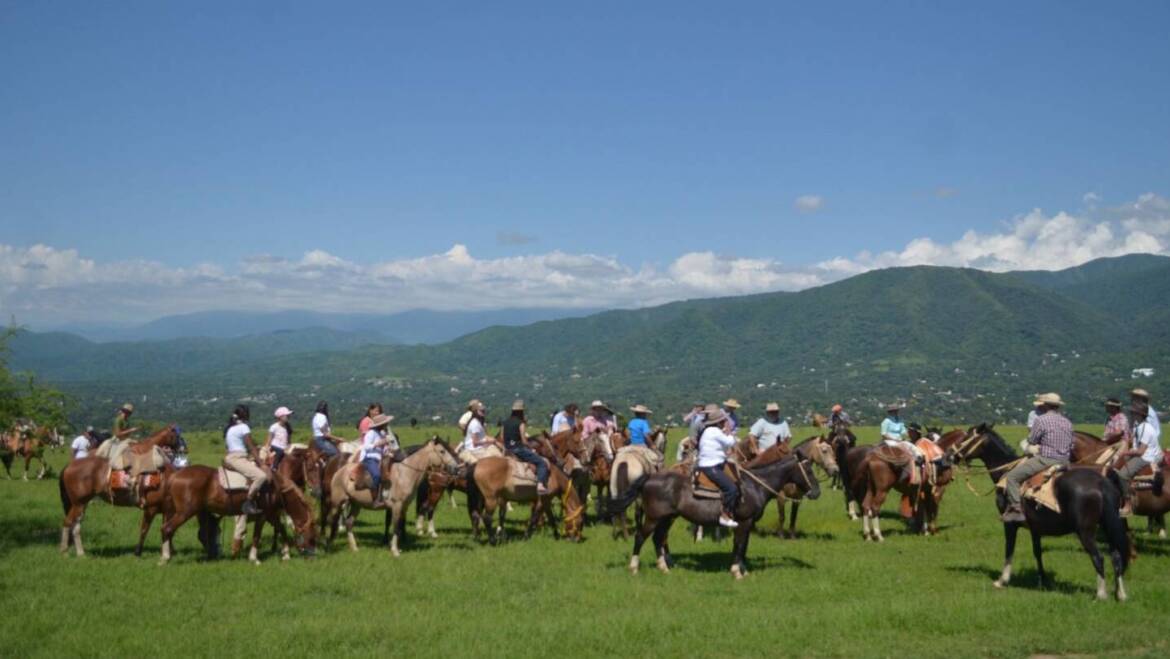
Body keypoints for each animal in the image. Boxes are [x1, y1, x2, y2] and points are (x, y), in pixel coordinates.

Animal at [56, 426, 184, 559]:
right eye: (177, 436)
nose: (183, 448)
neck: (167, 478)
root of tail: (69, 466)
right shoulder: (151, 508)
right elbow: (145, 530)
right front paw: (138, 552)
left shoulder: (166, 509)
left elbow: (167, 529)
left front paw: (170, 551)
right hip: (78, 503)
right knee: (68, 522)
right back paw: (64, 550)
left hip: (81, 504)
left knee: (76, 526)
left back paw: (81, 553)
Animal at [160, 463, 318, 566]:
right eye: (312, 536)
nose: (312, 554)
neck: (275, 487)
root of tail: (174, 476)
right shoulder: (264, 515)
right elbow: (257, 535)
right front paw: (255, 558)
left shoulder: (270, 515)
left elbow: (281, 529)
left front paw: (285, 553)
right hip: (185, 512)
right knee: (167, 529)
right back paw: (165, 557)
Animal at [329, 437, 460, 557]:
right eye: (442, 451)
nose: (456, 468)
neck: (405, 473)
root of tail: (339, 471)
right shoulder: (397, 505)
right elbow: (396, 526)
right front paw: (395, 551)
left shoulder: (404, 505)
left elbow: (401, 524)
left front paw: (398, 546)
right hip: (338, 502)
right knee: (333, 520)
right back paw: (329, 544)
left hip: (356, 504)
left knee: (349, 522)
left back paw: (354, 548)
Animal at [608, 456, 819, 580]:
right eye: (808, 471)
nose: (817, 492)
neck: (755, 486)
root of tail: (650, 477)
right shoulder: (744, 522)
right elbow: (740, 546)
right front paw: (737, 572)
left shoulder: (747, 524)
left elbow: (742, 547)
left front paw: (743, 570)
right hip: (653, 517)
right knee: (640, 537)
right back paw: (634, 568)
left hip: (666, 518)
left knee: (658, 538)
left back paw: (664, 568)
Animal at [950, 423, 1132, 603]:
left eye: (966, 437)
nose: (951, 456)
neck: (1005, 472)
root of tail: (1102, 483)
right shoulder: (1035, 528)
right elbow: (1037, 552)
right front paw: (1042, 580)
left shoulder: (1009, 523)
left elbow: (1009, 550)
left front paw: (1002, 580)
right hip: (1108, 527)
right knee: (1116, 557)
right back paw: (1120, 594)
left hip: (1085, 531)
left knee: (1098, 557)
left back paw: (1101, 594)